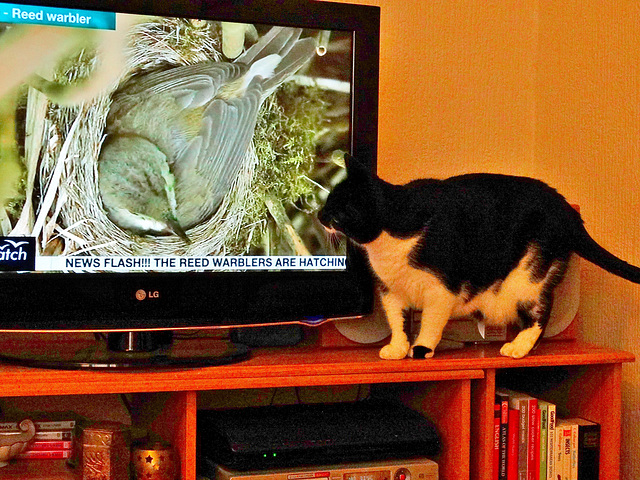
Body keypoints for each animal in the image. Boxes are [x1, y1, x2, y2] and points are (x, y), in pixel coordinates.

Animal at [318, 154, 640, 360]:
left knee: (541, 311)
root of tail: (569, 211)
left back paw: (518, 348)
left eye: (335, 211)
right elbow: (397, 321)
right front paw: (397, 348)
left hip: (528, 274)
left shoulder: (441, 289)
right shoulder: (390, 290)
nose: (319, 215)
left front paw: (421, 349)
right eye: (327, 201)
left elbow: (431, 321)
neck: (390, 234)